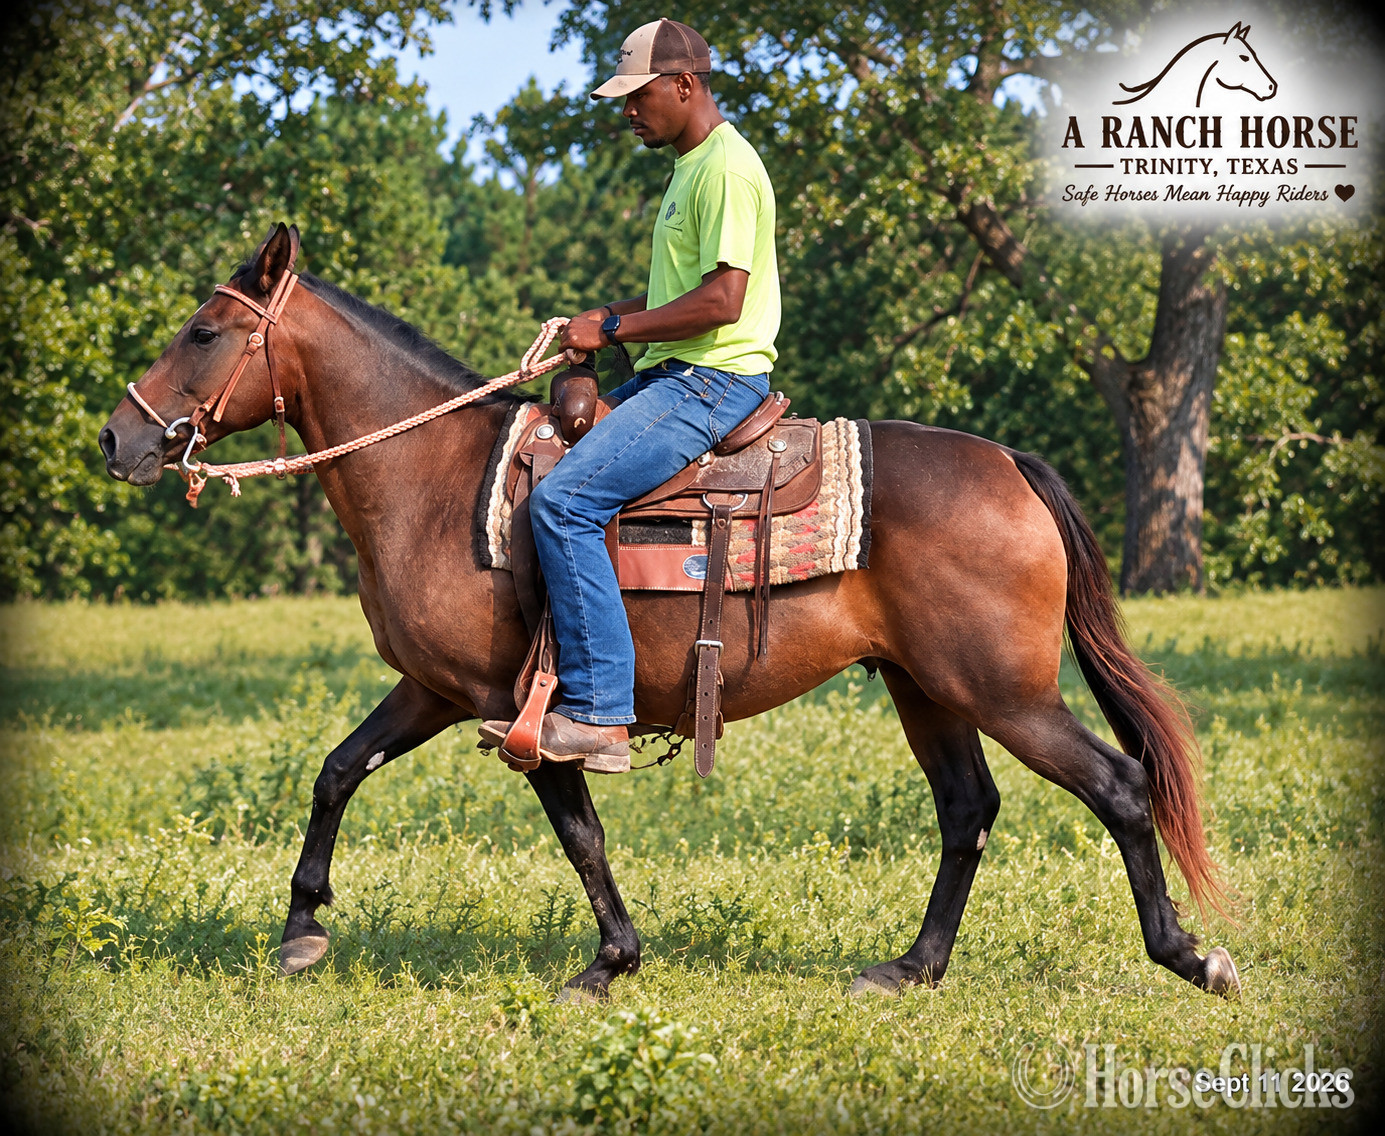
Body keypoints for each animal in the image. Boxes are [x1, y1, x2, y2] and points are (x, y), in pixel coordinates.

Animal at [98, 224, 1240, 1000]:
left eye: (204, 330)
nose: (120, 438)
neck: (434, 479)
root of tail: (1007, 462)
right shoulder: (434, 688)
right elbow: (337, 770)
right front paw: (302, 926)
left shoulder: (520, 706)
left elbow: (579, 832)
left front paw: (609, 962)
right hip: (928, 688)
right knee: (967, 811)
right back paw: (909, 966)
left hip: (1003, 689)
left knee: (1118, 786)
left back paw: (1188, 955)